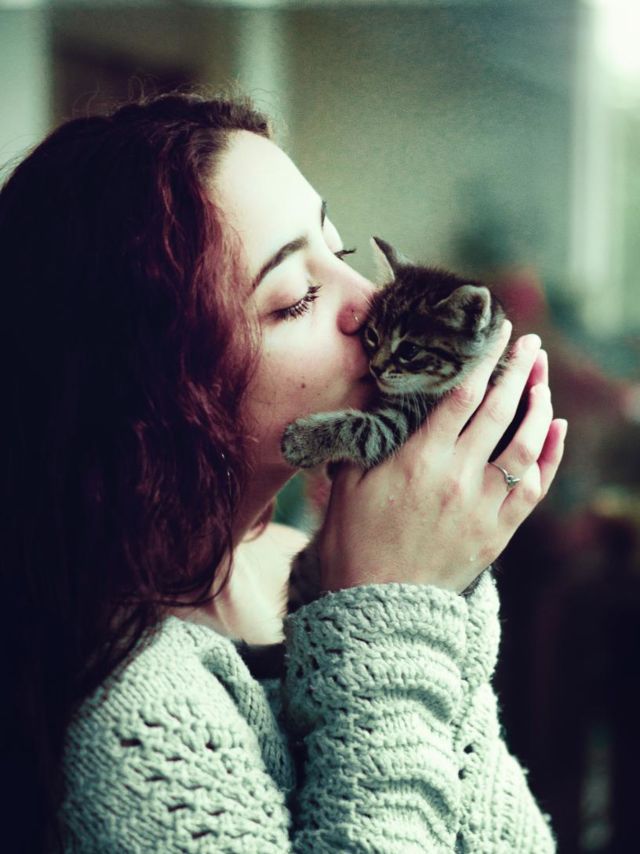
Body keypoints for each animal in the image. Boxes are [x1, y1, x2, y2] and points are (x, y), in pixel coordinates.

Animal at [236, 237, 514, 676]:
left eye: (409, 350)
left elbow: (361, 428)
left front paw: (303, 439)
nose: (376, 367)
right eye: (371, 334)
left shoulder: (402, 425)